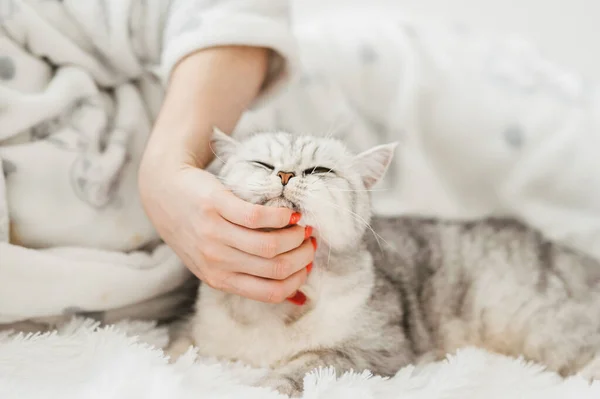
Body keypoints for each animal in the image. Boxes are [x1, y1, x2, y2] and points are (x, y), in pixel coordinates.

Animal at [166, 129, 600, 396]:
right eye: (262, 164)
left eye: (319, 170)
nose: (287, 175)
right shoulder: (197, 333)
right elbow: (175, 348)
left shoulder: (376, 349)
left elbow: (306, 366)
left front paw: (262, 386)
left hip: (540, 324)